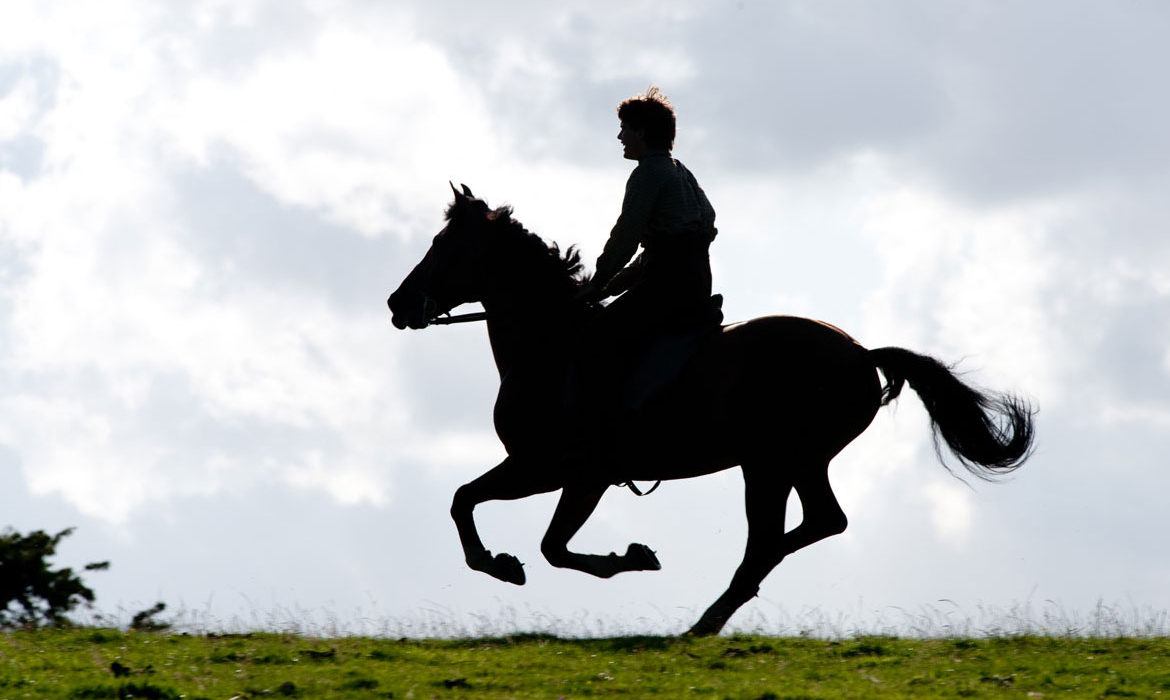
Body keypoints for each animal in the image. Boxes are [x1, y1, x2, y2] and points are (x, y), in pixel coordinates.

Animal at [386, 184, 1034, 636]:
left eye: (444, 247)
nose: (397, 304)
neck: (552, 344)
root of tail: (860, 353)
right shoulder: (548, 470)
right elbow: (477, 506)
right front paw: (510, 563)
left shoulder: (563, 470)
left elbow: (532, 536)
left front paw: (609, 559)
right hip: (795, 462)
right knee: (816, 524)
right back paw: (716, 613)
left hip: (771, 463)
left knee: (770, 538)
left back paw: (705, 620)